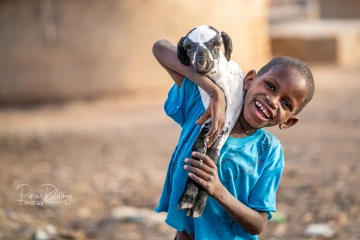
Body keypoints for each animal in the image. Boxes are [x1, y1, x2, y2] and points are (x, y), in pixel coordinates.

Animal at [177, 25, 245, 218]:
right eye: (187, 47)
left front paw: (198, 204)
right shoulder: (208, 122)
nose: (201, 64)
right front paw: (187, 199)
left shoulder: (226, 123)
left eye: (217, 43)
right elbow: (199, 148)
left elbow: (213, 154)